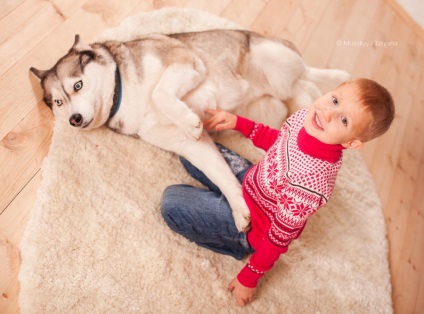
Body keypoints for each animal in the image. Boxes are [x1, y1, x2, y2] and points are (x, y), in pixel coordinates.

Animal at [29, 30, 348, 231]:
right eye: (58, 102)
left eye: (77, 85)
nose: (74, 119)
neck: (123, 93)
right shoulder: (188, 145)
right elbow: (219, 174)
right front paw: (240, 208)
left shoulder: (183, 61)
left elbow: (159, 92)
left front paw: (189, 119)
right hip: (272, 104)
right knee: (302, 90)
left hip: (271, 55)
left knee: (307, 73)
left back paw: (338, 83)